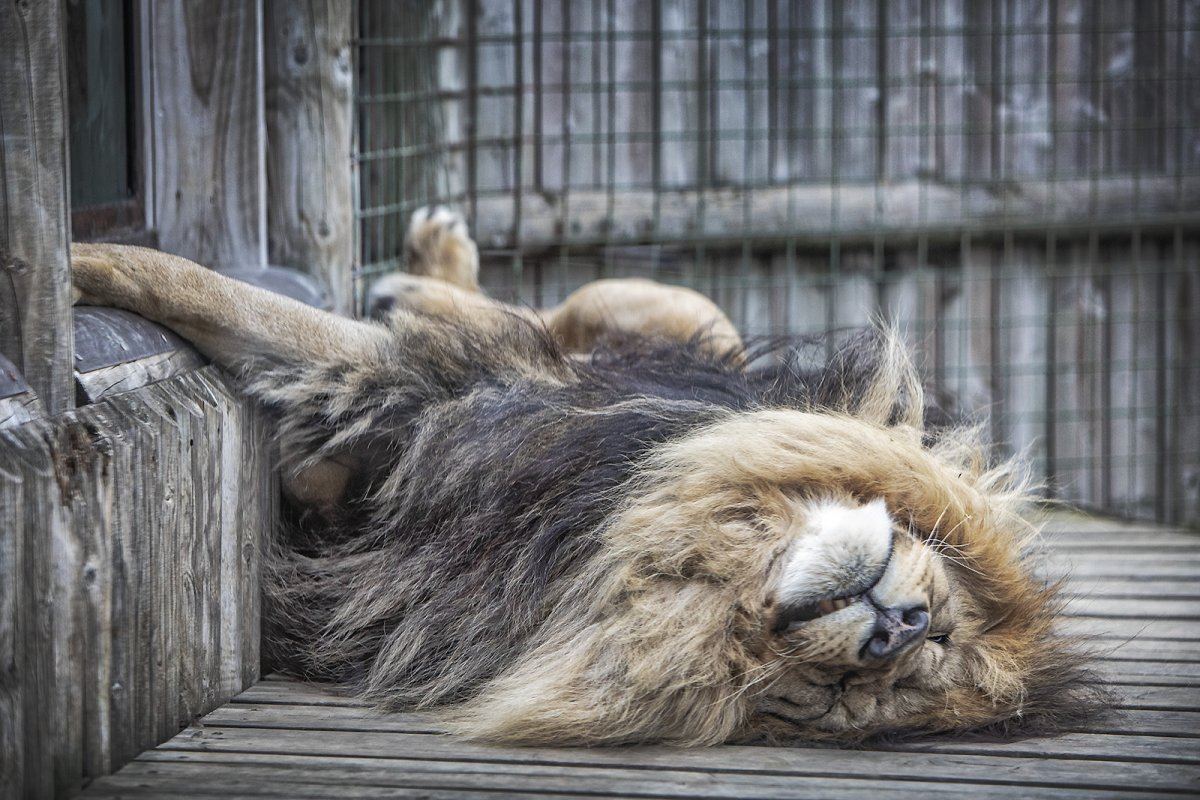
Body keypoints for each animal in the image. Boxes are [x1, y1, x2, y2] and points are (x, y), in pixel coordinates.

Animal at [69, 208, 1101, 747]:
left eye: (834, 698)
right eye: (945, 619)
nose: (901, 628)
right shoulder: (449, 391)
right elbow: (205, 288)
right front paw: (75, 263)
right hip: (677, 321)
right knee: (550, 308)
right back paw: (431, 262)